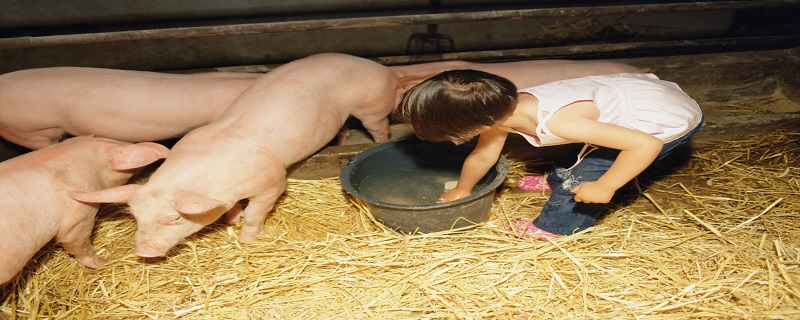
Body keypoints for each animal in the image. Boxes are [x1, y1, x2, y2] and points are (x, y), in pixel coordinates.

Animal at [70, 52, 400, 258]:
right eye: (136, 217)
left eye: (175, 218)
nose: (143, 252)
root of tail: (380, 68)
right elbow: (230, 208)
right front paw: (232, 219)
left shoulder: (273, 182)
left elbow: (257, 210)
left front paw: (247, 238)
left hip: (371, 105)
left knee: (379, 126)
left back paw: (378, 140)